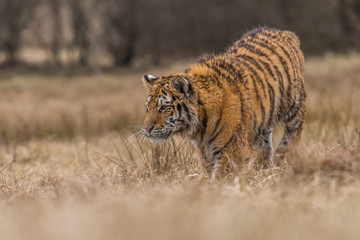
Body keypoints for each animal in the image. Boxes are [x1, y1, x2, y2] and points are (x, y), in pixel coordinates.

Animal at [141, 27, 306, 179]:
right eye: (148, 107)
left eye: (164, 107)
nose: (146, 129)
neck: (200, 126)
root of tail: (284, 32)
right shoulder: (204, 152)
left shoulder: (231, 149)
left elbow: (220, 177)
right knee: (264, 149)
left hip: (295, 106)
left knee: (292, 134)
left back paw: (282, 160)